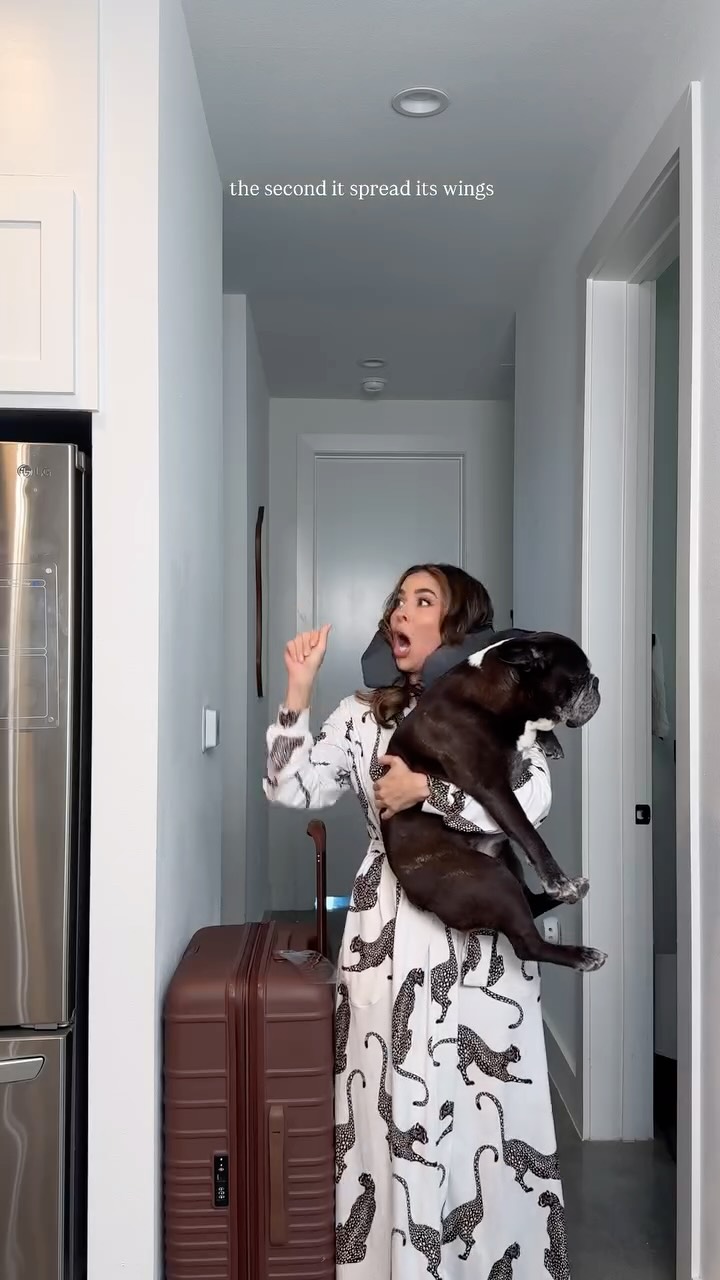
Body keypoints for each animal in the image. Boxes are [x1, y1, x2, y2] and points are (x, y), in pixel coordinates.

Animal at [380, 632, 607, 972]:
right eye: (580, 677)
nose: (597, 682)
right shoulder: (494, 789)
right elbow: (530, 834)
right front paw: (558, 881)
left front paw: (550, 741)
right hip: (492, 880)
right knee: (527, 944)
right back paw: (581, 952)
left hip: (507, 861)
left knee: (531, 904)